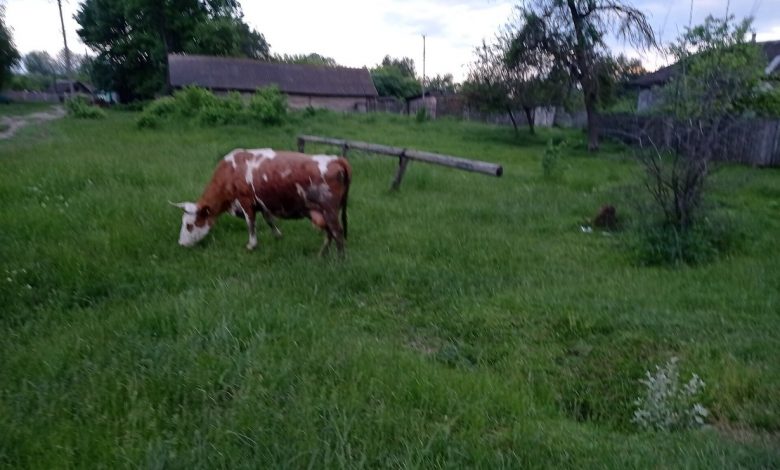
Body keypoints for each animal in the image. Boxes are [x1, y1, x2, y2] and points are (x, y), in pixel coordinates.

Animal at [171, 148, 351, 256]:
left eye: (189, 225)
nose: (181, 244)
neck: (231, 171)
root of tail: (336, 159)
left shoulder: (245, 201)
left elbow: (251, 223)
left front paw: (252, 245)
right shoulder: (262, 202)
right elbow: (269, 219)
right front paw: (278, 236)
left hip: (329, 210)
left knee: (337, 233)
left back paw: (339, 260)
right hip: (323, 212)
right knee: (329, 233)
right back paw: (322, 255)